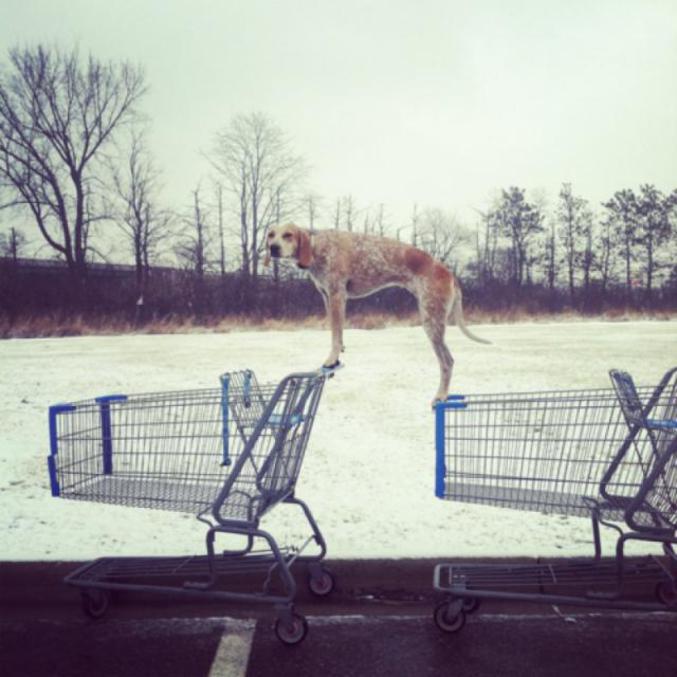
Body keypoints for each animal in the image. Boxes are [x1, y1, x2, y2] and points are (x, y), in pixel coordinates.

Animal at [262, 222, 488, 404]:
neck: (317, 247)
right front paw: (339, 352)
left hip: (432, 321)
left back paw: (441, 395)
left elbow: (335, 334)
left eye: (288, 235)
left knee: (447, 362)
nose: (273, 248)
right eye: (271, 234)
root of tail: (450, 274)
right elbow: (337, 333)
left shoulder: (337, 295)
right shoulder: (326, 296)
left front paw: (331, 359)